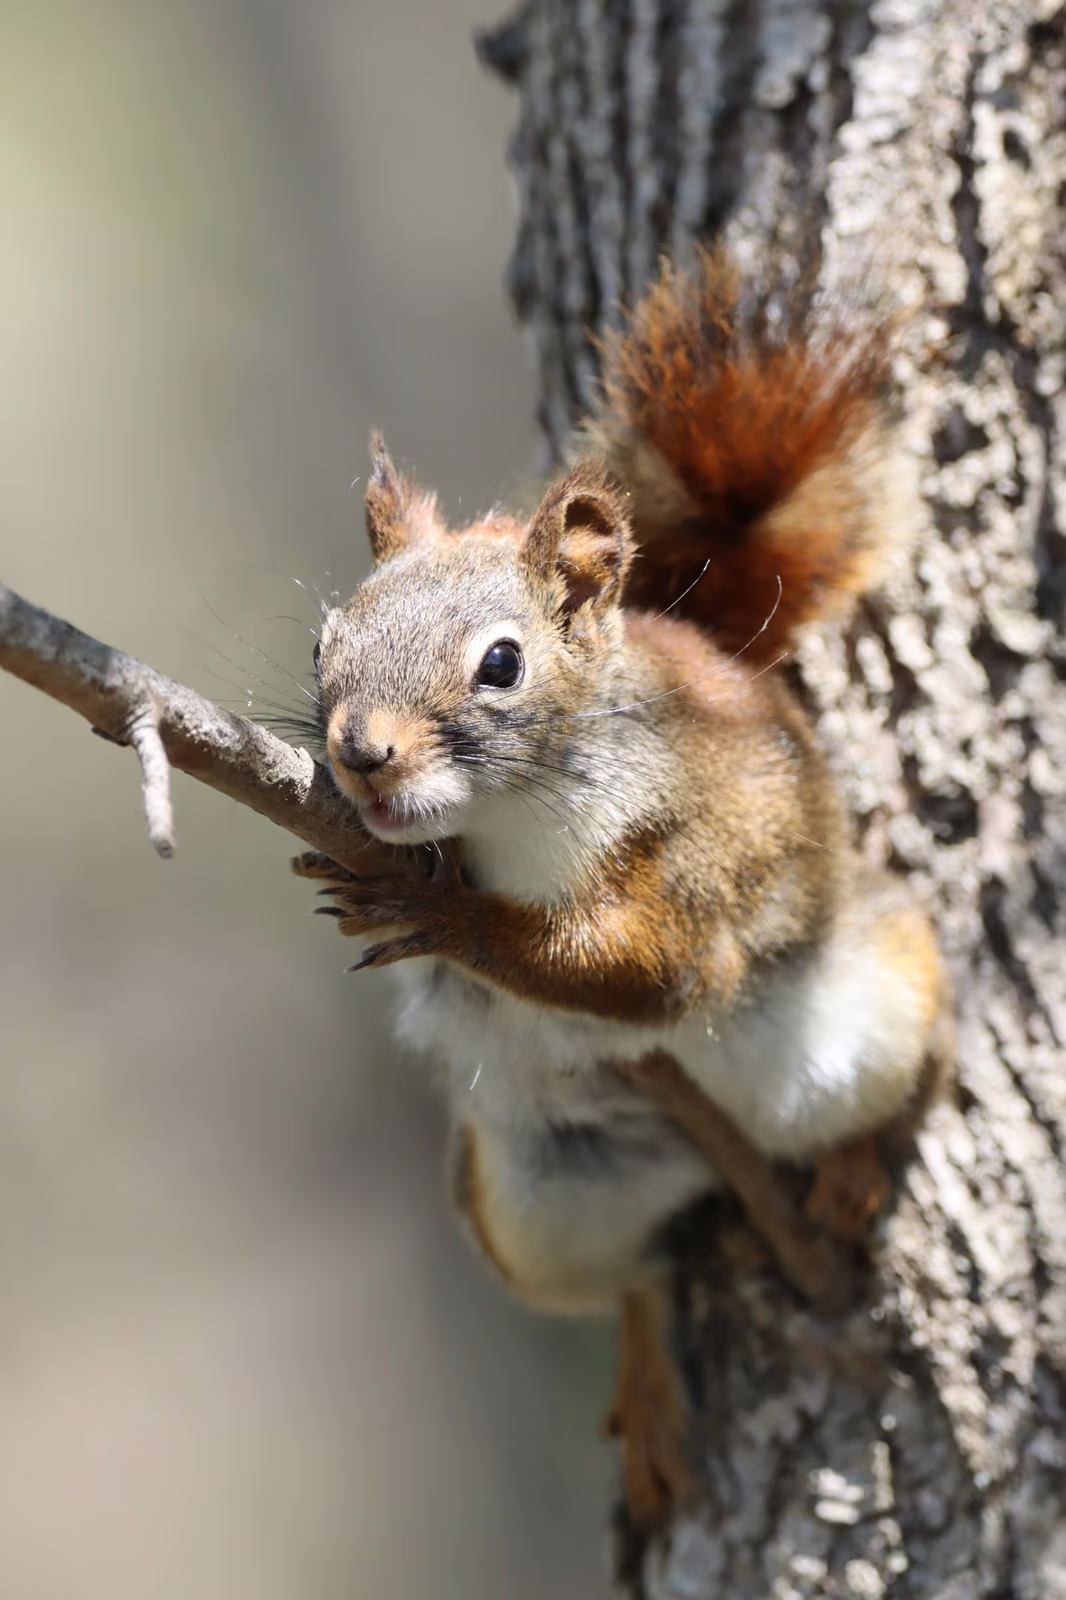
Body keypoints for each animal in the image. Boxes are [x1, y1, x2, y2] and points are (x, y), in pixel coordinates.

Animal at [293, 251, 952, 1530]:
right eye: (322, 645)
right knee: (637, 1273)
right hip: (535, 1193)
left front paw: (447, 916)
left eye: (501, 663)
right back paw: (649, 1387)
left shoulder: (683, 859)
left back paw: (859, 1162)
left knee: (918, 1029)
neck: (504, 821)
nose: (360, 754)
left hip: (872, 1002)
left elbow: (650, 972)